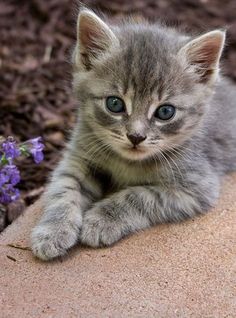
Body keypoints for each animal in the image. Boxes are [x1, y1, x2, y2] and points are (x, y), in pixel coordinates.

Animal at [31, 9, 236, 260]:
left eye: (165, 112)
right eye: (115, 104)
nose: (136, 137)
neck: (127, 162)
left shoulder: (198, 187)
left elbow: (138, 196)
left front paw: (101, 220)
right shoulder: (78, 157)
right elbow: (64, 189)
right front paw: (53, 230)